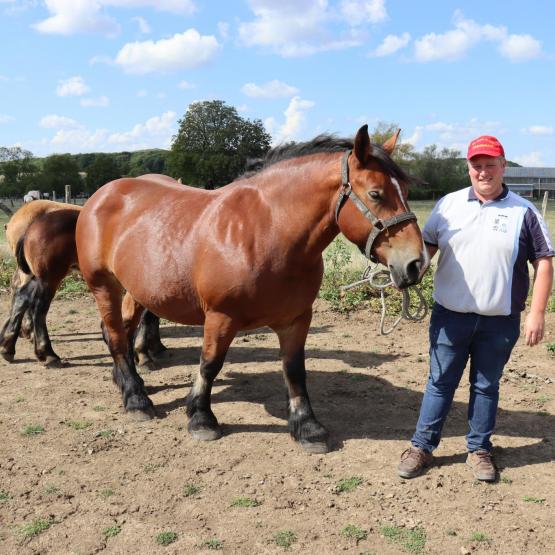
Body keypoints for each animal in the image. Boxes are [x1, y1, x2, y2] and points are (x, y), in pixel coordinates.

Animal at [76, 127, 428, 456]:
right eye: (376, 194)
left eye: (406, 191)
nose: (416, 263)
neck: (265, 231)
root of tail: (101, 194)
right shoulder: (220, 317)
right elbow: (210, 364)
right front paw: (201, 418)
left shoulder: (297, 319)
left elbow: (294, 370)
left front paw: (307, 426)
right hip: (104, 286)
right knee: (115, 336)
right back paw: (136, 399)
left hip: (137, 289)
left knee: (121, 331)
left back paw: (127, 382)